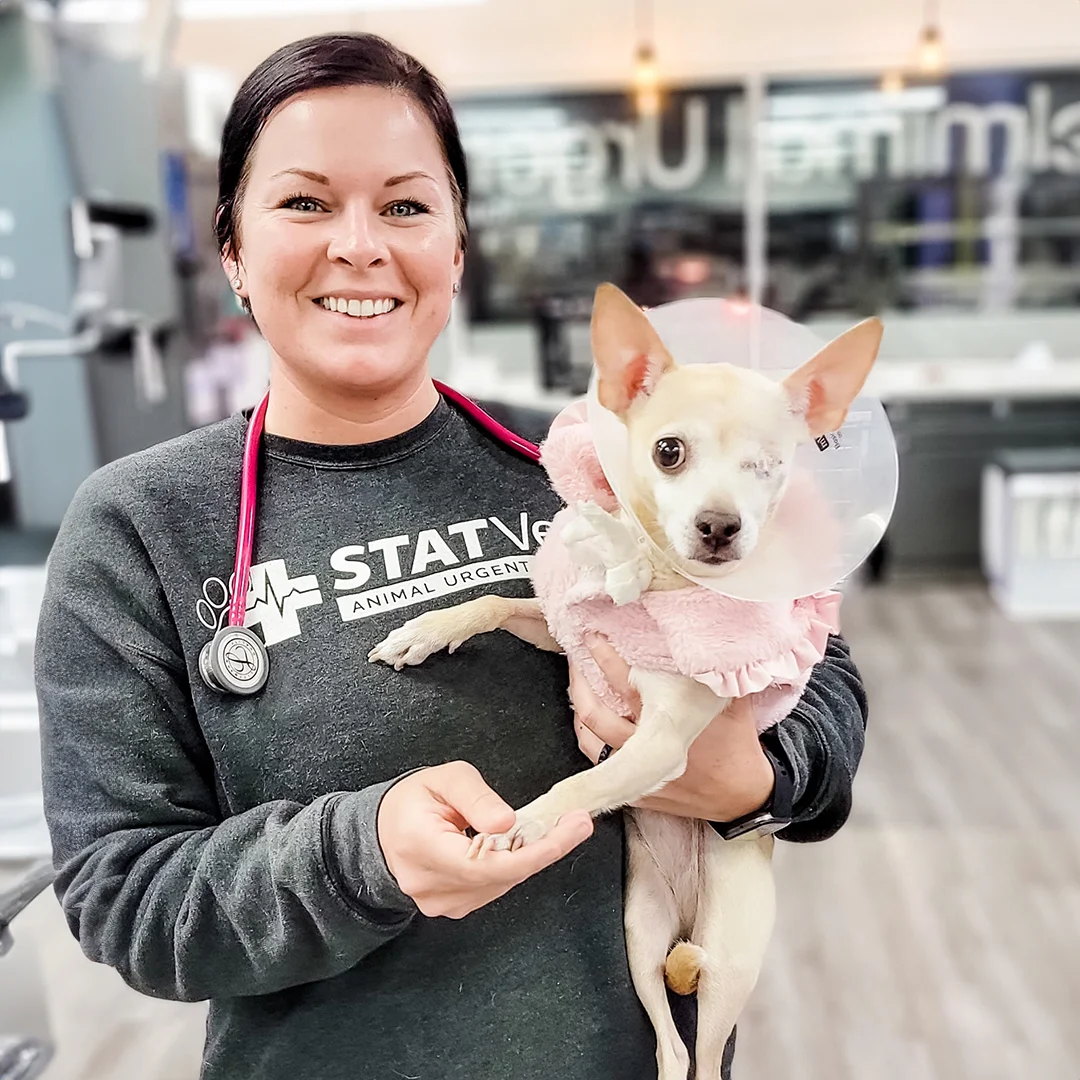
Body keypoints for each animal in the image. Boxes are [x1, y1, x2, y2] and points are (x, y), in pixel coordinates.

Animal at [367, 282, 881, 1075]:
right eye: (670, 452)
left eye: (770, 466)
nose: (720, 525)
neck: (654, 584)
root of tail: (690, 919)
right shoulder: (569, 632)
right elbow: (494, 603)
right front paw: (426, 632)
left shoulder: (662, 744)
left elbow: (580, 784)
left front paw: (524, 824)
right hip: (641, 935)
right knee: (668, 1046)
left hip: (729, 962)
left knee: (703, 1054)